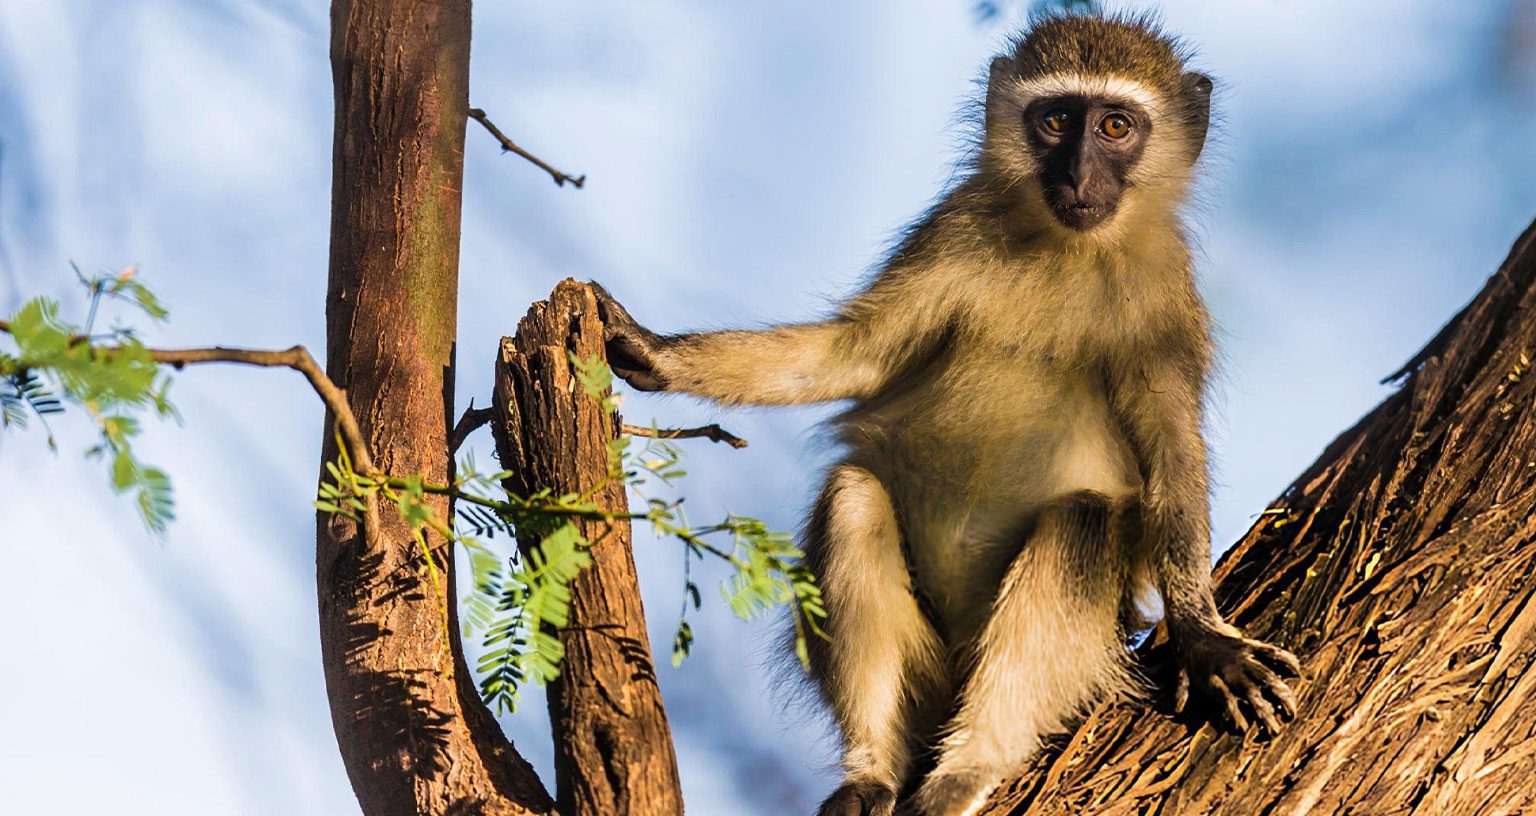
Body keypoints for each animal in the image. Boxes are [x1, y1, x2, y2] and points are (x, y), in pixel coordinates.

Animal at [593, 13, 1301, 816]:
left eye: (1116, 126)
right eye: (1056, 121)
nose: (1079, 176)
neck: (1065, 248)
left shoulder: (1165, 297)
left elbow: (1173, 451)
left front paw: (1202, 633)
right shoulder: (951, 227)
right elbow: (850, 357)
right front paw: (657, 354)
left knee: (1083, 522)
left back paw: (969, 766)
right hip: (927, 672)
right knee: (853, 499)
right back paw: (872, 771)